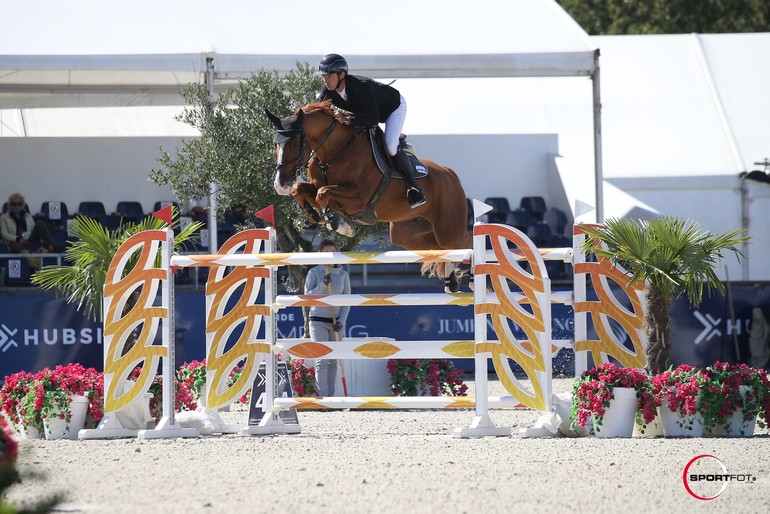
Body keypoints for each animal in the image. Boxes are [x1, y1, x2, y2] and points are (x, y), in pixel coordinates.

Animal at [262, 100, 468, 292]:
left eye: (295, 143)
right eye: (275, 144)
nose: (280, 185)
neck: (334, 152)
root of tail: (451, 175)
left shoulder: (358, 199)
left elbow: (323, 193)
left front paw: (337, 224)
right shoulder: (321, 188)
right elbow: (300, 190)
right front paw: (320, 217)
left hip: (447, 230)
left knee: (458, 246)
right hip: (406, 235)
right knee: (438, 249)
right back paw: (451, 280)